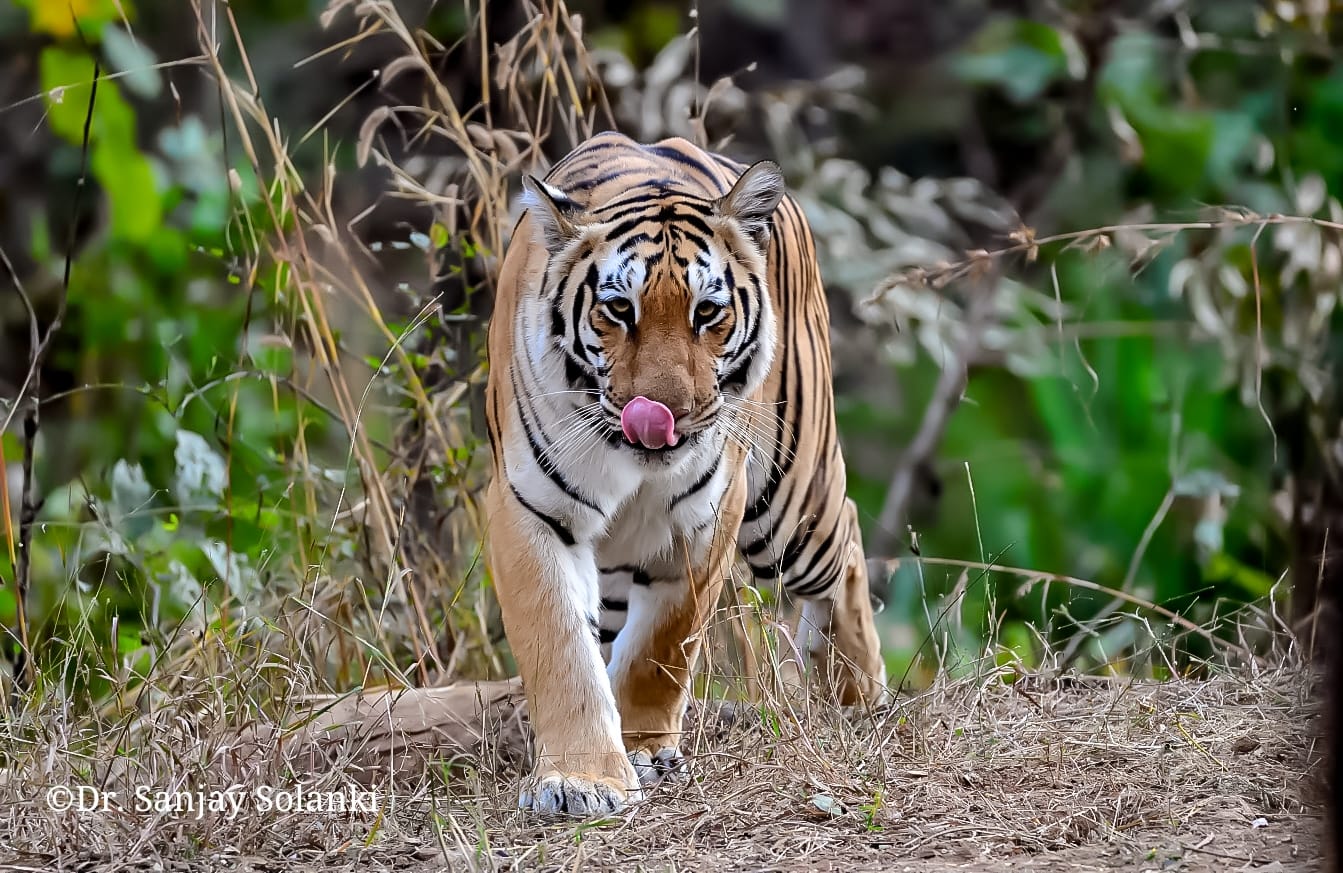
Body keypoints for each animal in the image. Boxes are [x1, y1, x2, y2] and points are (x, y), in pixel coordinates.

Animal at [484, 130, 887, 817]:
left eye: (707, 312)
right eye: (619, 309)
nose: (664, 414)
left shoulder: (705, 520)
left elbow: (663, 645)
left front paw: (642, 749)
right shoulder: (529, 509)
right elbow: (560, 644)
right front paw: (583, 779)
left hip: (789, 503)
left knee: (847, 542)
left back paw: (860, 695)